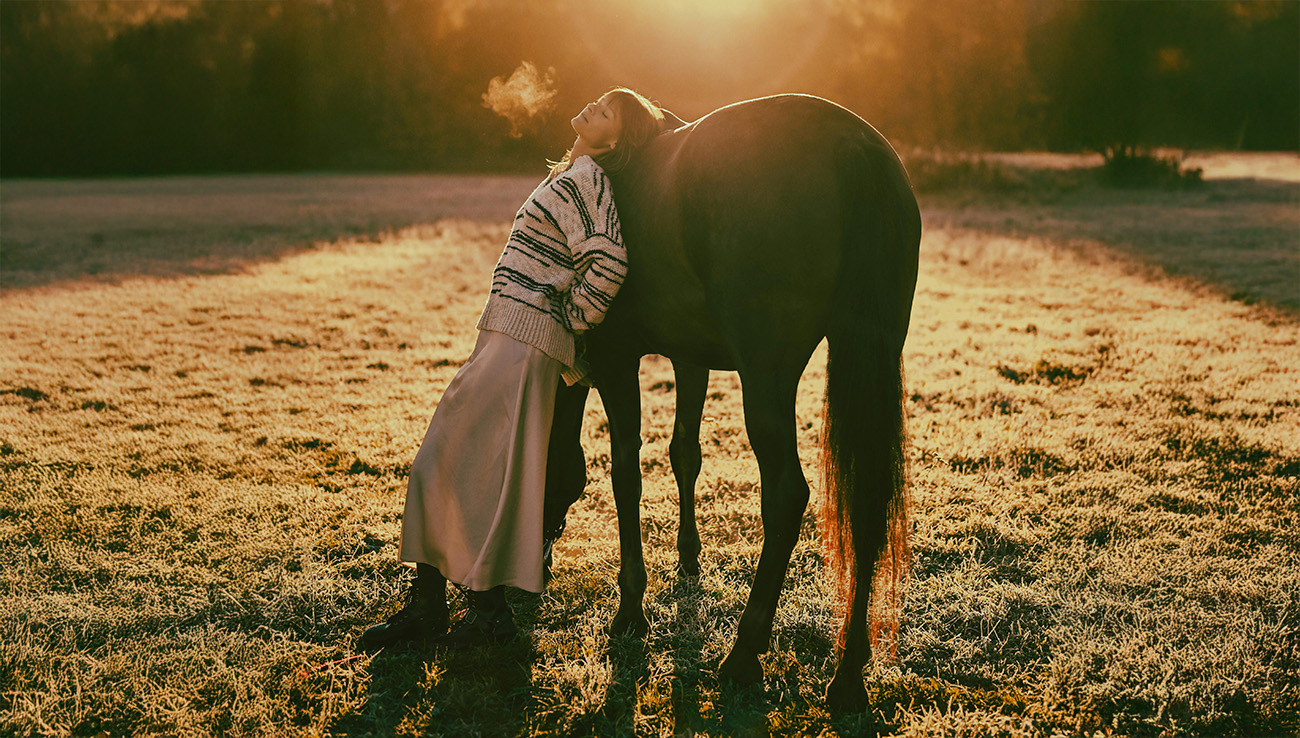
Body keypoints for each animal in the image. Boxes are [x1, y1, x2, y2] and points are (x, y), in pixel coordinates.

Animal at [541, 94, 921, 709]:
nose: (541, 561)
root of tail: (853, 147)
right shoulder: (689, 357)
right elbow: (684, 455)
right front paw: (689, 558)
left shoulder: (618, 362)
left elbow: (626, 473)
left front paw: (630, 609)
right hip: (867, 355)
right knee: (867, 497)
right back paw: (848, 673)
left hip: (766, 375)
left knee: (787, 495)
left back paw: (745, 653)